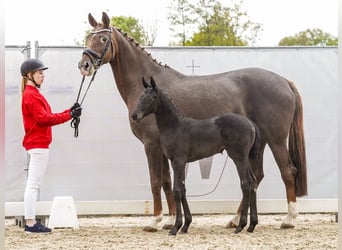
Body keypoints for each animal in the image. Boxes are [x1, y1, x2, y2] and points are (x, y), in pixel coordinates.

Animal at [78, 11, 308, 230]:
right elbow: (167, 182)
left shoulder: (151, 145)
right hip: (257, 145)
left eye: (103, 39)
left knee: (287, 172)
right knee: (256, 177)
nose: (84, 65)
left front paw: (155, 221)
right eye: (88, 37)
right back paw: (236, 219)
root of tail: (285, 82)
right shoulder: (163, 148)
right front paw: (171, 220)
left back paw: (289, 219)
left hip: (276, 140)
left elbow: (155, 181)